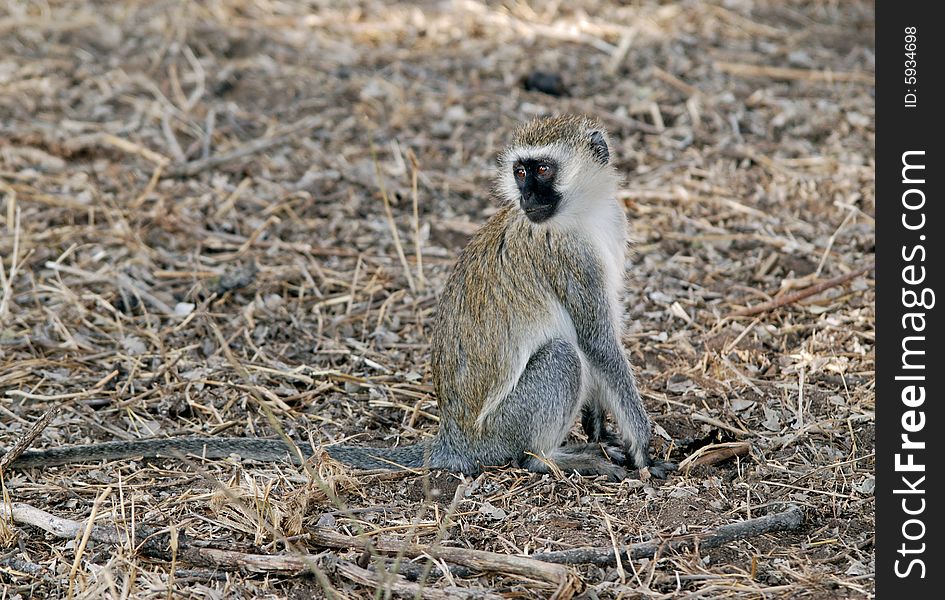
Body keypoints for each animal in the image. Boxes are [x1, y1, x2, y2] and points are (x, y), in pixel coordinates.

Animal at [3, 116, 676, 482]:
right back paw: (549, 457)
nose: (528, 199)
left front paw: (604, 423)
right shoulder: (567, 256)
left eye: (542, 171)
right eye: (521, 172)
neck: (581, 213)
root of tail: (456, 439)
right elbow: (596, 342)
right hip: (501, 427)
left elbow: (604, 339)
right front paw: (644, 445)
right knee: (559, 361)